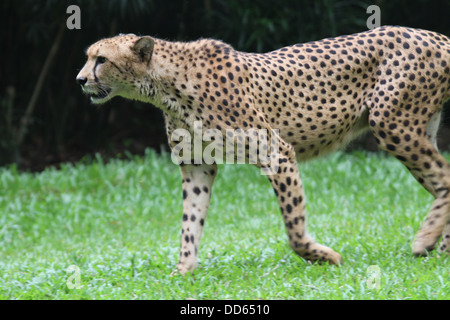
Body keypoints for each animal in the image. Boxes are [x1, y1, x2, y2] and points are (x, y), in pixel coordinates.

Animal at [77, 26, 450, 274]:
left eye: (101, 59)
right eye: (88, 58)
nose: (80, 80)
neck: (166, 86)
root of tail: (433, 35)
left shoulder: (277, 152)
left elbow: (294, 228)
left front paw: (323, 257)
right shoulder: (197, 165)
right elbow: (190, 221)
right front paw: (183, 271)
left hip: (392, 125)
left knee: (445, 180)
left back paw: (425, 240)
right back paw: (441, 248)